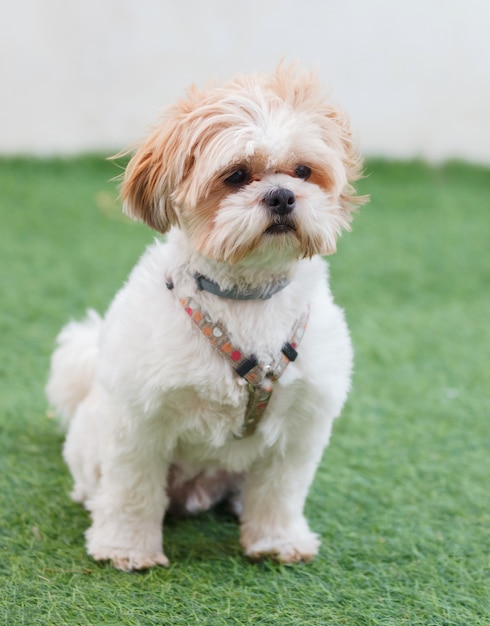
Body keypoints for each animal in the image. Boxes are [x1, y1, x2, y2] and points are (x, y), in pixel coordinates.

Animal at [47, 64, 368, 572]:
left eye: (303, 171)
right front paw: (126, 548)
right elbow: (133, 491)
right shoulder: (139, 421)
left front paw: (276, 540)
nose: (282, 195)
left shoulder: (301, 425)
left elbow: (280, 491)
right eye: (236, 176)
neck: (245, 299)